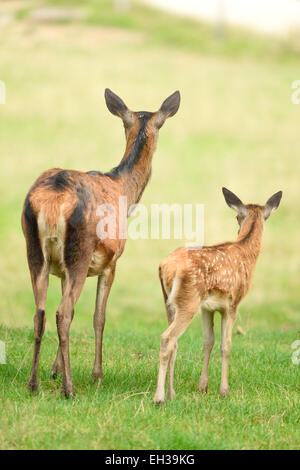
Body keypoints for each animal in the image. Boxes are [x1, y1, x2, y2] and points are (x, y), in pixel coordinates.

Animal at [22, 88, 180, 396]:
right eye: (162, 125)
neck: (124, 191)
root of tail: (53, 201)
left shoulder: (62, 270)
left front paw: (54, 369)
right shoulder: (111, 262)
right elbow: (99, 317)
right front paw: (97, 373)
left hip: (36, 250)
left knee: (41, 312)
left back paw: (34, 383)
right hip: (80, 252)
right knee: (63, 313)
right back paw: (69, 389)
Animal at [154, 187, 282, 404]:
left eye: (237, 217)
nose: (237, 228)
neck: (246, 254)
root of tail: (165, 266)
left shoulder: (207, 307)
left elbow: (208, 342)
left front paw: (202, 387)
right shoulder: (233, 304)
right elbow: (226, 345)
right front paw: (224, 390)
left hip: (169, 302)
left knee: (174, 343)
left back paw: (172, 393)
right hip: (189, 300)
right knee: (167, 338)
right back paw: (159, 397)